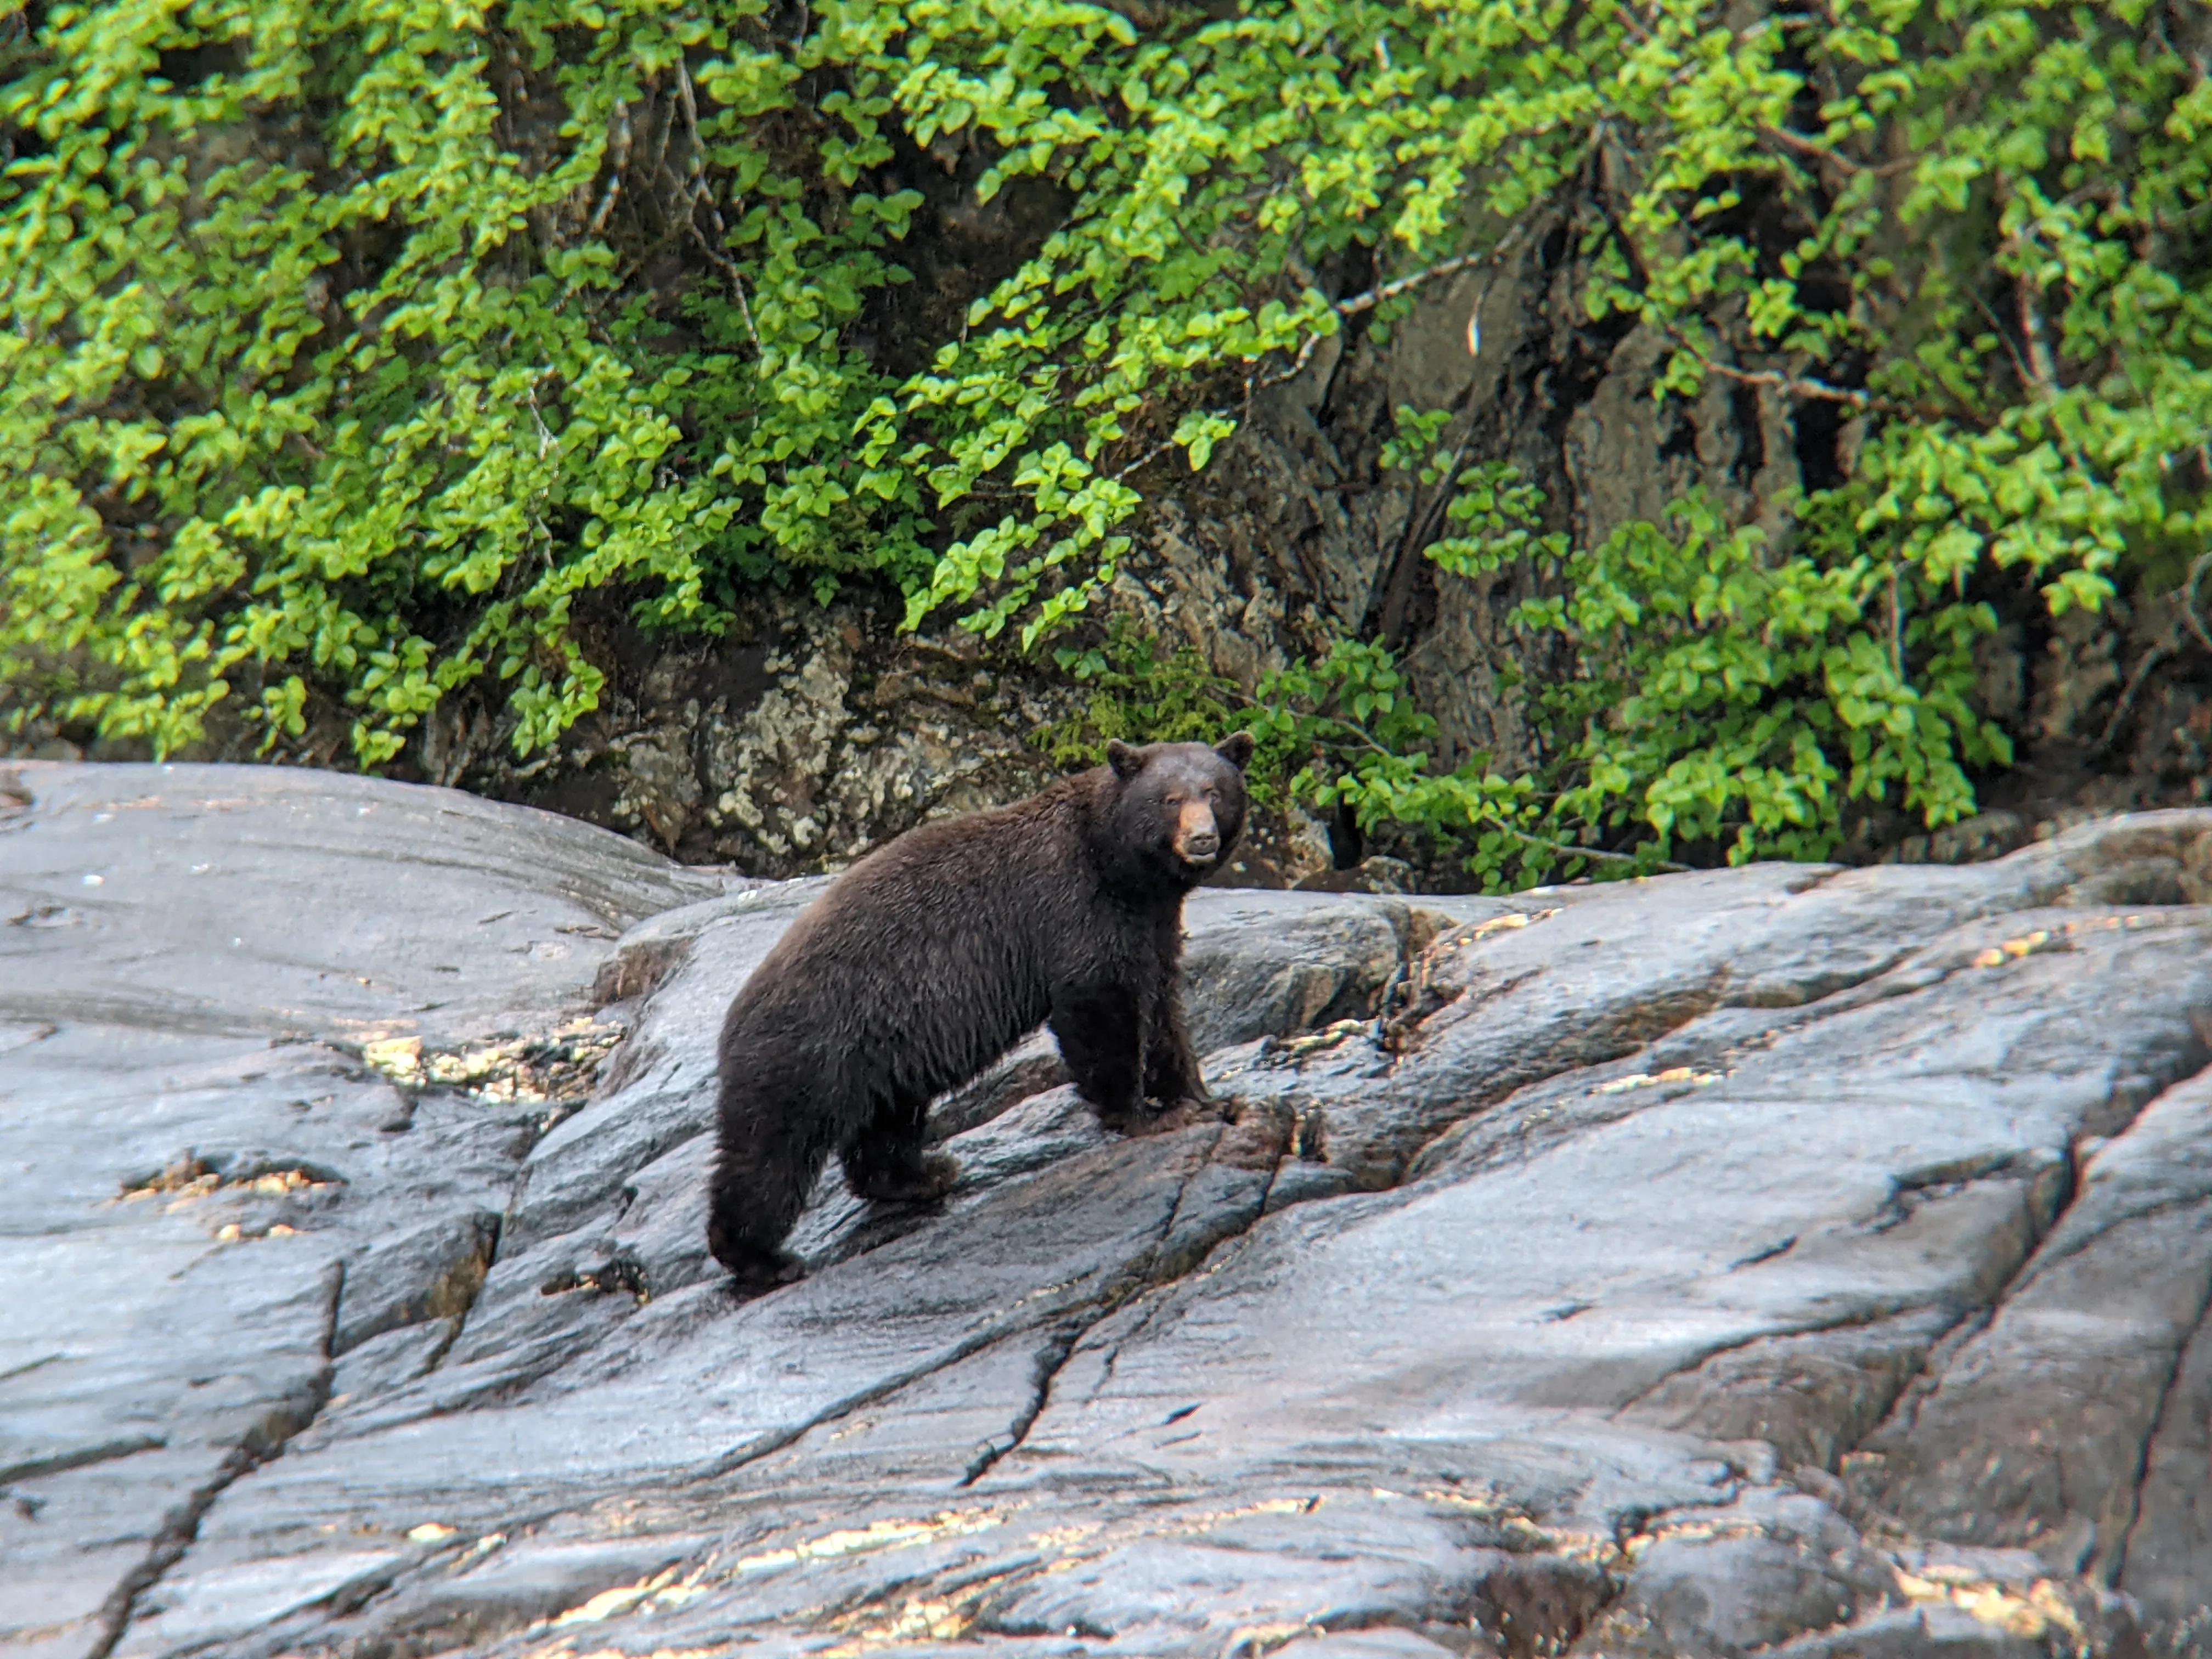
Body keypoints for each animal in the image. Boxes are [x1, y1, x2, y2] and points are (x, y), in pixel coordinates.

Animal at [704, 732, 1255, 1288]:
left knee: (884, 1123)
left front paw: (1205, 1097)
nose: (1202, 838)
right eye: (1169, 799)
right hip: (810, 1053)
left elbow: (1164, 1009)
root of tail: (733, 1019)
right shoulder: (1077, 910)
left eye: (1214, 792)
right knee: (771, 1154)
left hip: (882, 1051)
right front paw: (1145, 1114)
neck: (1120, 865)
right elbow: (1098, 1008)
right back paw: (761, 1257)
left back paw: (920, 1176)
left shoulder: (1151, 927)